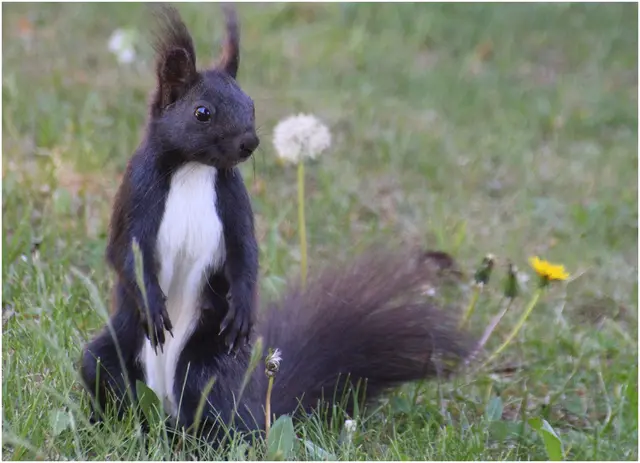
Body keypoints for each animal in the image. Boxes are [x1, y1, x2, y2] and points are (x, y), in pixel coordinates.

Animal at [80, 4, 474, 442]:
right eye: (202, 113)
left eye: (251, 104)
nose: (249, 142)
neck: (193, 169)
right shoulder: (136, 194)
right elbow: (124, 253)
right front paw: (152, 303)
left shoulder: (234, 202)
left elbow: (245, 252)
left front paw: (242, 308)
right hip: (112, 355)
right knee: (109, 379)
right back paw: (114, 428)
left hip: (208, 368)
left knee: (212, 409)